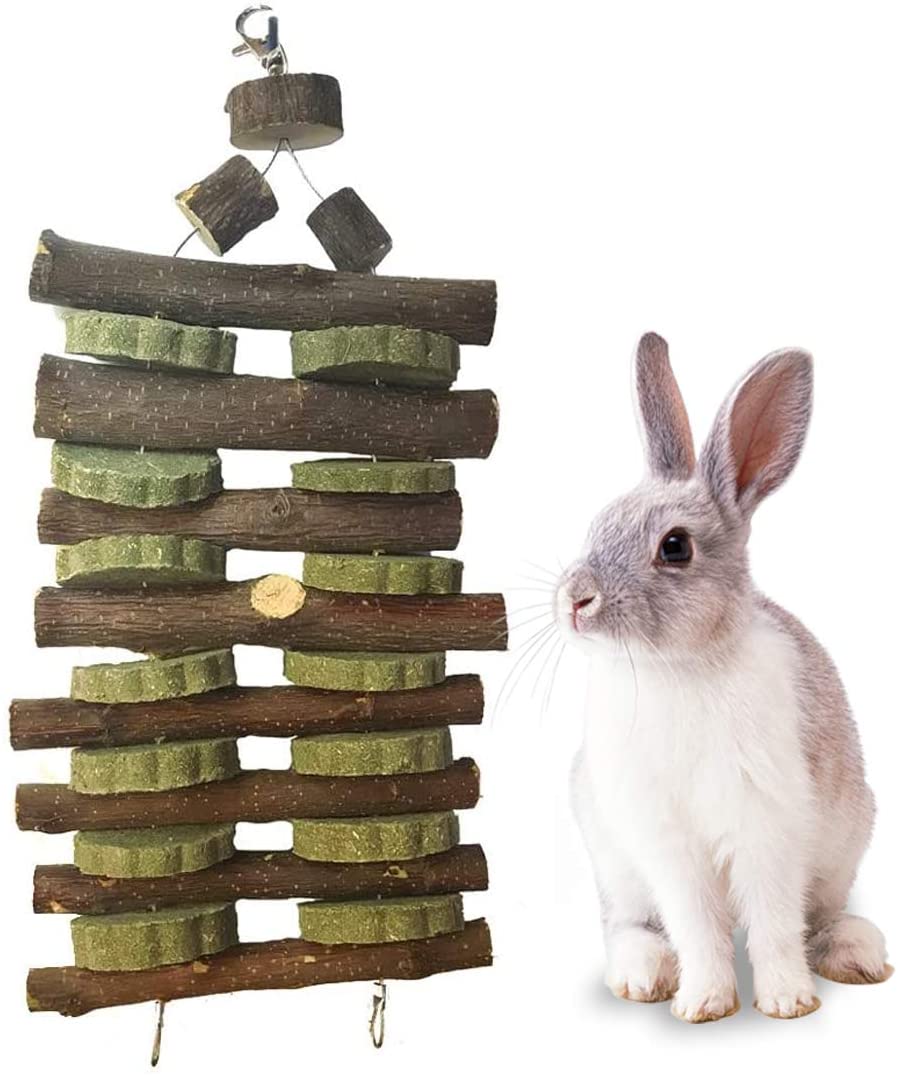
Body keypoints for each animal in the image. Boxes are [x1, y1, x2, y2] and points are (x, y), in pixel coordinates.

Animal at [555, 332, 891, 1022]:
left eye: (675, 546)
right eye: (598, 523)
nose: (575, 600)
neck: (679, 668)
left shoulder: (768, 826)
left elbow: (774, 922)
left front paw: (788, 1002)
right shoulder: (667, 843)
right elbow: (696, 925)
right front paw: (704, 1004)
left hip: (845, 844)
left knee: (820, 916)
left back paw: (857, 955)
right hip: (614, 859)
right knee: (629, 924)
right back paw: (641, 976)